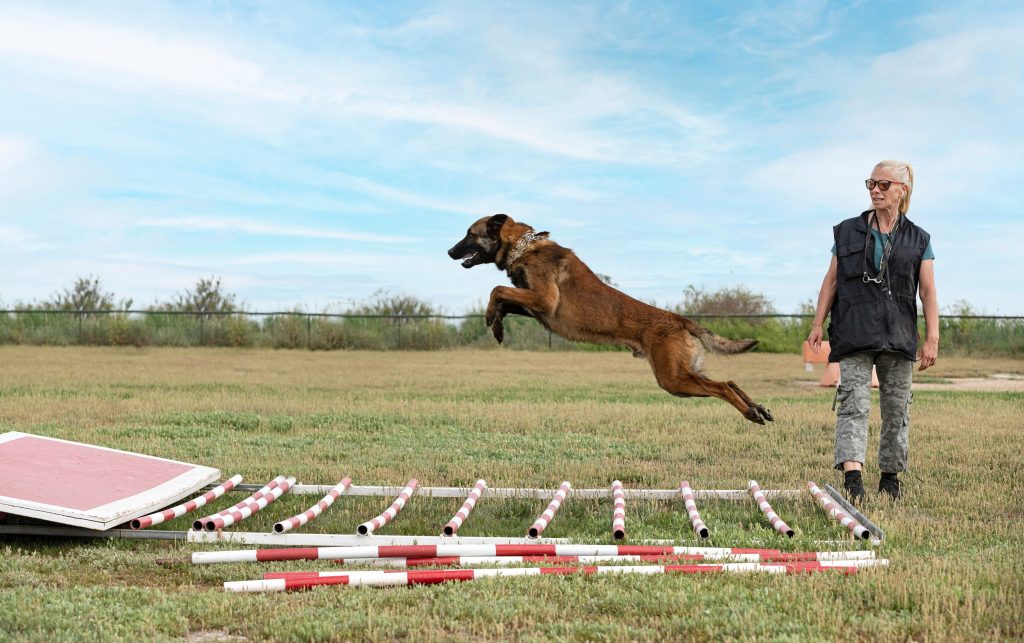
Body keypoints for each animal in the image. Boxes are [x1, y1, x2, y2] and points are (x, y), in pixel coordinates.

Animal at [448, 216, 774, 423]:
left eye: (469, 233)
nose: (449, 251)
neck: (525, 246)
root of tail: (680, 319)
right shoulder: (535, 305)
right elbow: (504, 299)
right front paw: (497, 323)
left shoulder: (544, 300)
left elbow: (497, 290)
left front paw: (491, 316)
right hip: (683, 374)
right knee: (729, 381)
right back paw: (758, 408)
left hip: (674, 379)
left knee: (722, 387)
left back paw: (750, 413)